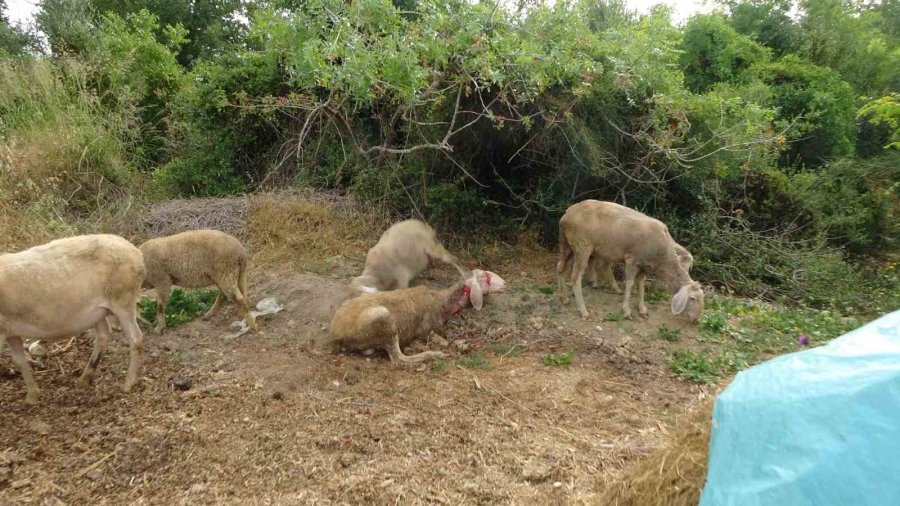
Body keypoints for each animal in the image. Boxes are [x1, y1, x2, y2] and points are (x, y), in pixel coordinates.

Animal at [0, 233, 146, 404]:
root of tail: (137, 252)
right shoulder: (11, 331)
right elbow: (20, 361)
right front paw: (31, 397)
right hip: (97, 310)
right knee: (104, 333)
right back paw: (84, 379)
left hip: (123, 298)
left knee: (135, 338)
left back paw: (127, 384)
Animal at [328, 270, 506, 362]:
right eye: (487, 277)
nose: (505, 284)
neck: (443, 302)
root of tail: (336, 334)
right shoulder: (427, 330)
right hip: (384, 321)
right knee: (399, 359)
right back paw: (433, 354)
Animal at [556, 201, 704, 322]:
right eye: (692, 298)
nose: (695, 319)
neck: (663, 255)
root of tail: (566, 215)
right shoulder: (632, 260)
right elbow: (630, 284)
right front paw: (626, 310)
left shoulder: (644, 265)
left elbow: (641, 285)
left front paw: (642, 308)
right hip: (582, 246)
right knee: (575, 278)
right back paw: (583, 310)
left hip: (567, 245)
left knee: (560, 267)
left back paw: (564, 298)